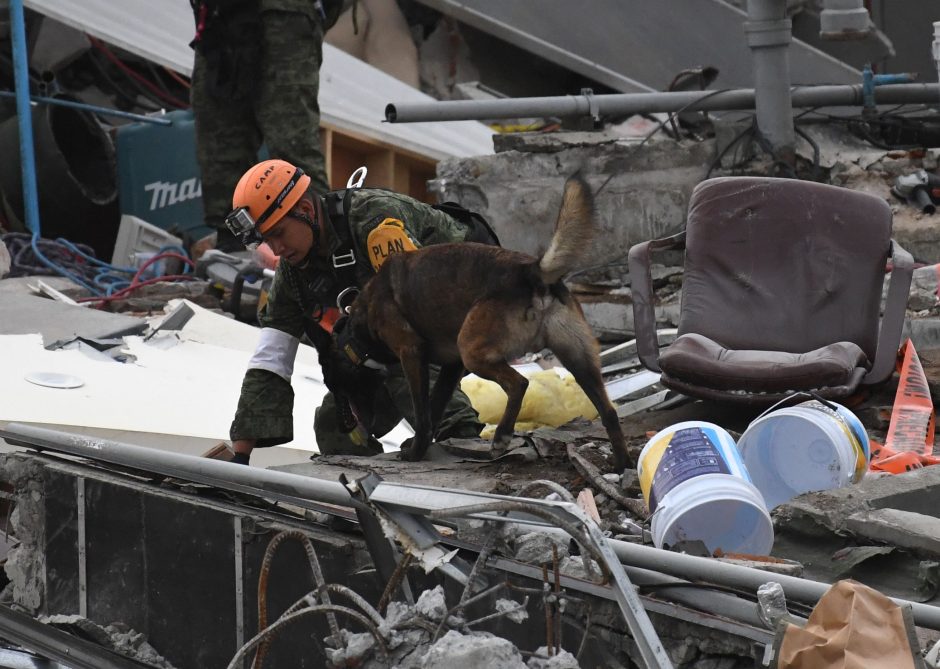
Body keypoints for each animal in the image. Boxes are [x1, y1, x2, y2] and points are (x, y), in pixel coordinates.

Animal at [342, 177, 628, 470]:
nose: (358, 428)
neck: (364, 311)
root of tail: (531, 271)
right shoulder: (451, 366)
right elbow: (436, 404)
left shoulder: (411, 352)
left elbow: (423, 413)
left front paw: (415, 452)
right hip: (578, 359)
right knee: (608, 411)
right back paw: (623, 465)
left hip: (472, 351)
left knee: (519, 383)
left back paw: (502, 437)